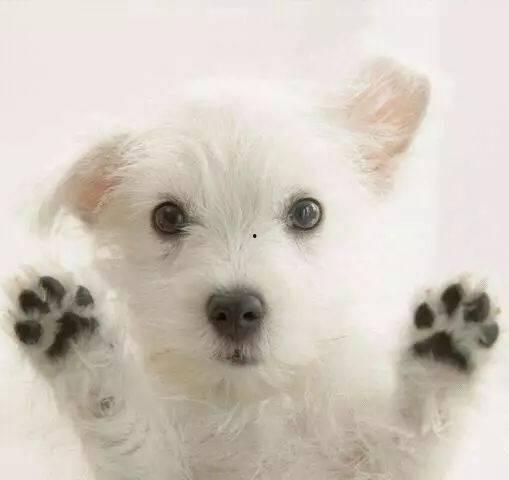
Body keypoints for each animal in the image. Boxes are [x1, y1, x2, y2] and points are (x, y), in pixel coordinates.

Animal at [2, 57, 501, 480]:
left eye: (306, 212)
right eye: (167, 217)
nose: (236, 310)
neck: (248, 405)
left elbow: (409, 441)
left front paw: (442, 353)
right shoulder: (154, 464)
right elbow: (124, 428)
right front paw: (78, 344)